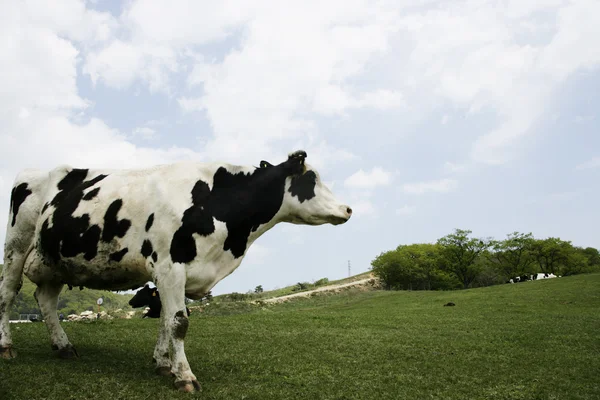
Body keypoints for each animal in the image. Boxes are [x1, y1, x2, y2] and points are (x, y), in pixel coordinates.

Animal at [0, 149, 352, 390]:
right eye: (311, 180)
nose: (348, 209)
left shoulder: (171, 276)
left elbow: (166, 322)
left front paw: (163, 363)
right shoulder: (170, 266)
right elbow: (179, 323)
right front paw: (184, 376)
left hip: (53, 262)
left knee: (46, 301)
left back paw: (63, 346)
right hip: (16, 247)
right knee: (7, 296)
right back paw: (7, 347)